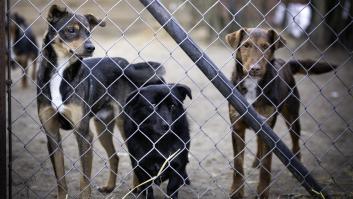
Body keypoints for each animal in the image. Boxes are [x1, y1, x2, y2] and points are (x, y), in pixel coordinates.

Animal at [226, 28, 336, 199]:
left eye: (265, 46)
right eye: (246, 45)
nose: (255, 69)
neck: (253, 85)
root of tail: (286, 63)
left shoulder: (268, 127)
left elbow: (267, 166)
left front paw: (263, 192)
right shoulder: (237, 126)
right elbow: (238, 164)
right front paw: (237, 191)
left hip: (292, 117)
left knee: (295, 142)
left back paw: (296, 166)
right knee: (259, 140)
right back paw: (256, 160)